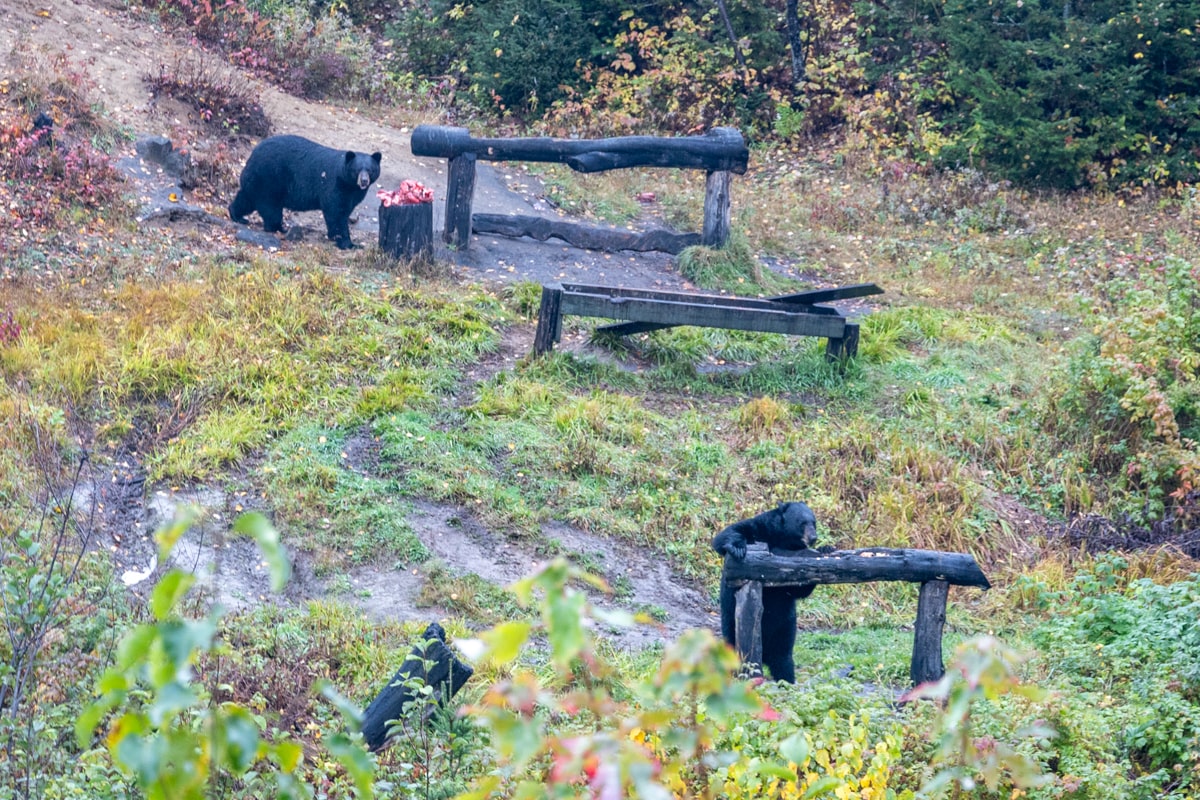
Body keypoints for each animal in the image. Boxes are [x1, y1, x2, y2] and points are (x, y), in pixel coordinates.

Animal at [230, 133, 384, 250]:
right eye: (357, 170)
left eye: (370, 170)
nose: (364, 181)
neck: (349, 184)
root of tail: (252, 156)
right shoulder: (335, 186)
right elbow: (336, 212)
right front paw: (347, 243)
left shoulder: (351, 193)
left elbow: (345, 210)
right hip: (270, 178)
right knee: (270, 208)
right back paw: (279, 227)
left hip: (258, 181)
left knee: (246, 199)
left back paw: (237, 215)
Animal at [705, 501, 820, 681]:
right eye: (802, 523)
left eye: (813, 523)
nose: (813, 537)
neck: (783, 540)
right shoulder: (759, 529)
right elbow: (727, 534)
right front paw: (738, 548)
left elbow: (797, 588)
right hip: (731, 623)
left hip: (785, 627)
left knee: (783, 657)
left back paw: (786, 680)